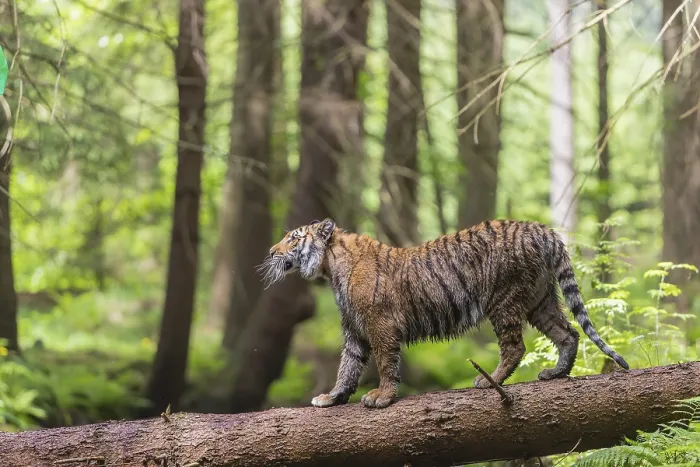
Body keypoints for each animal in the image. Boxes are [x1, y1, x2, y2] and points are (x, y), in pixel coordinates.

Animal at [258, 217, 630, 409]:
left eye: (293, 238)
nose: (271, 251)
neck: (330, 268)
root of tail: (541, 229)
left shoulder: (380, 324)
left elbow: (385, 363)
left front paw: (381, 397)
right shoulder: (354, 329)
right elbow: (347, 367)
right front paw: (332, 397)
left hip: (504, 300)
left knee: (516, 346)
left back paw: (489, 380)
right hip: (540, 300)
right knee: (569, 333)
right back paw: (557, 373)